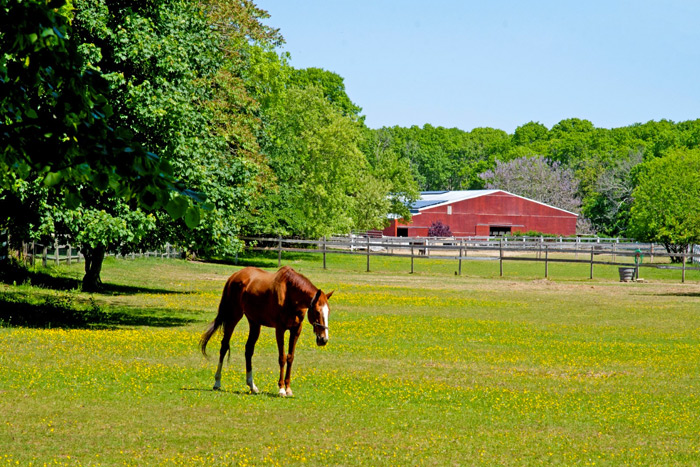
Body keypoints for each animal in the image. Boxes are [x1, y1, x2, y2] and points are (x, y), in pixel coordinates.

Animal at [200, 268, 334, 396]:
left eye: (328, 311)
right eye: (317, 311)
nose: (323, 339)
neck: (290, 294)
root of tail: (234, 276)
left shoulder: (296, 330)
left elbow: (290, 357)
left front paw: (288, 389)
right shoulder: (280, 329)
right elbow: (282, 358)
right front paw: (281, 389)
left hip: (254, 323)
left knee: (248, 350)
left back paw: (252, 386)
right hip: (233, 317)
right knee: (224, 346)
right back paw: (217, 382)